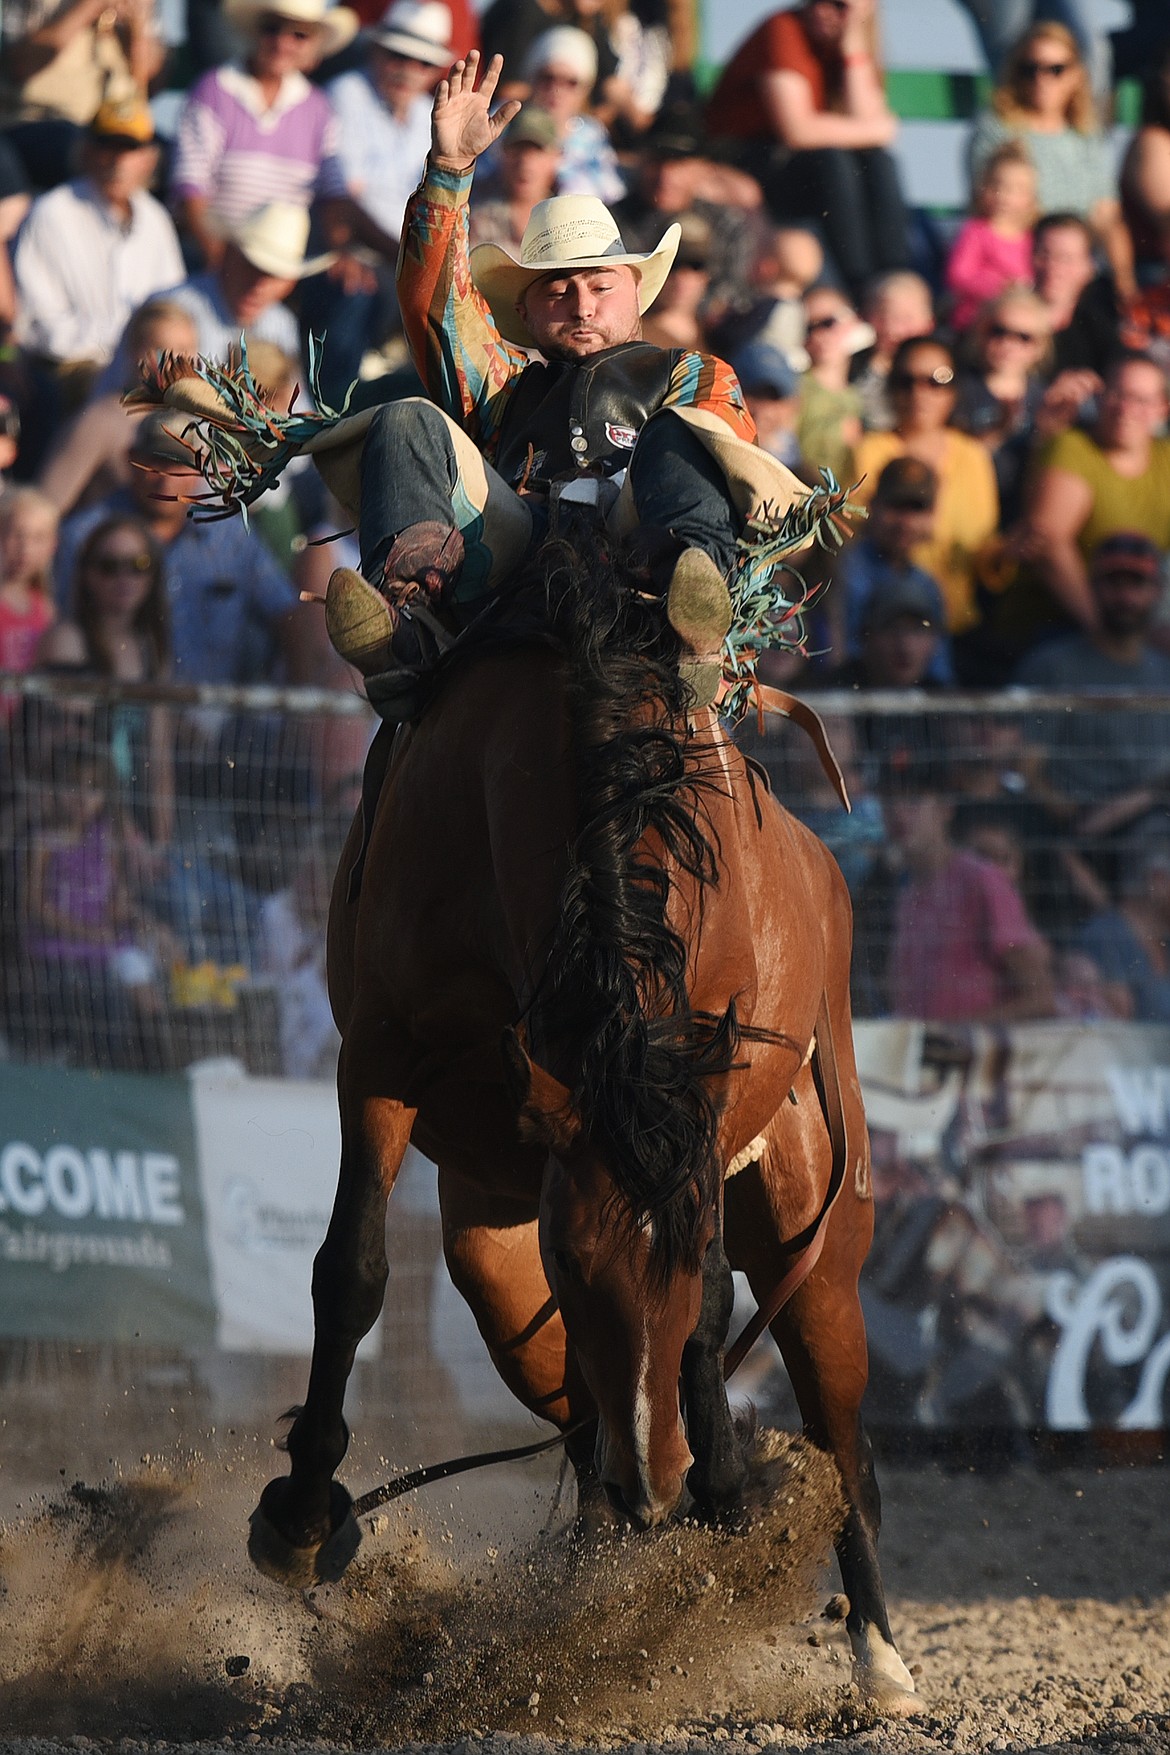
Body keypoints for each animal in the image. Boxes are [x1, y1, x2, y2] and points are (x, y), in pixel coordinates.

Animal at [252, 537, 919, 1712]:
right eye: (570, 1258)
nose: (655, 1482)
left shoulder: (707, 1108)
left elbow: (706, 1319)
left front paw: (722, 1486)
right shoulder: (379, 1058)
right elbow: (352, 1272)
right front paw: (299, 1517)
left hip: (821, 1237)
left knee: (837, 1424)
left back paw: (872, 1643)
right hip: (492, 1250)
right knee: (567, 1399)